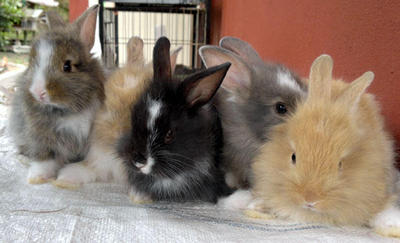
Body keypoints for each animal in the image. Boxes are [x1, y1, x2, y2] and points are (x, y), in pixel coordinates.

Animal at [9, 5, 105, 184]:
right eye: (32, 63)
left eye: (67, 66)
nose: (38, 92)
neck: (66, 111)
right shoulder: (40, 137)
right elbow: (44, 158)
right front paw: (38, 177)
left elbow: (91, 161)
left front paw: (72, 176)